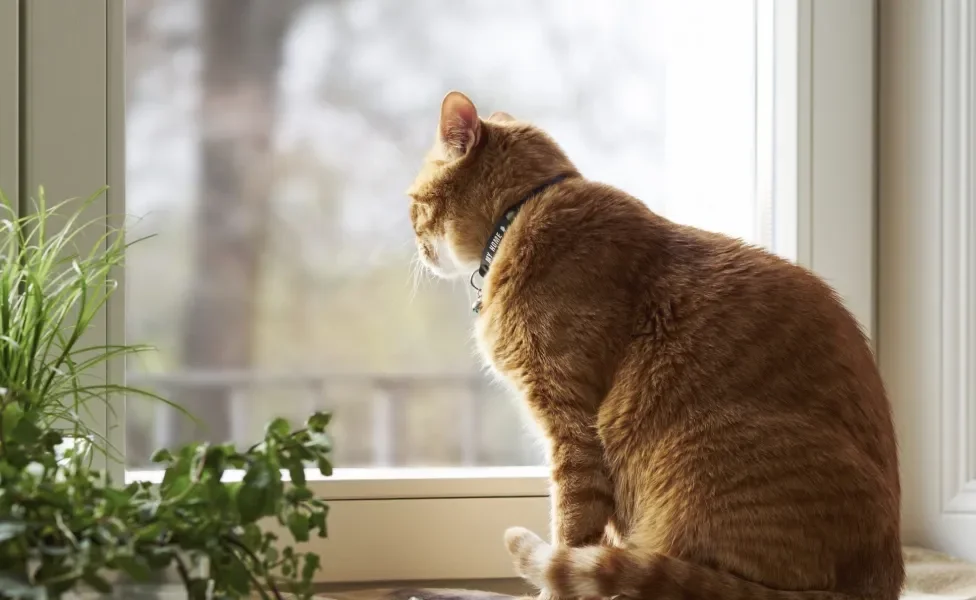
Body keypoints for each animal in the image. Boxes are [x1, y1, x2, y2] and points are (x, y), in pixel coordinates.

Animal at [404, 91, 900, 600]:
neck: (520, 215)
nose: (417, 245)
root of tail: (877, 581)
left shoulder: (571, 426)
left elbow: (570, 530)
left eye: (413, 204)